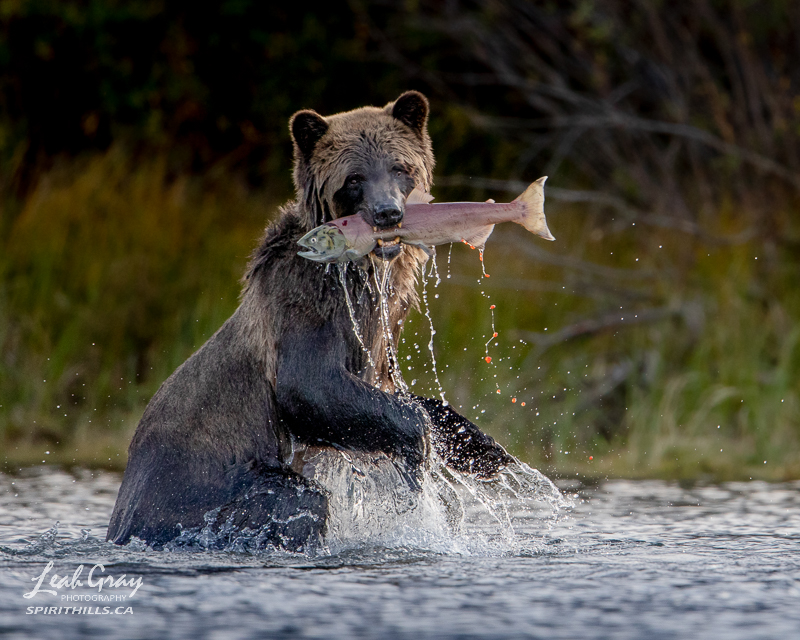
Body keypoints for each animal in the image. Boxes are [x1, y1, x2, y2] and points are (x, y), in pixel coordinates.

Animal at [106, 91, 512, 552]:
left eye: (400, 167)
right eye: (354, 178)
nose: (387, 213)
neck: (362, 278)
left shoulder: (381, 331)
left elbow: (398, 395)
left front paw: (483, 449)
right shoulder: (308, 307)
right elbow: (310, 384)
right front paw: (419, 462)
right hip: (201, 495)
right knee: (296, 500)